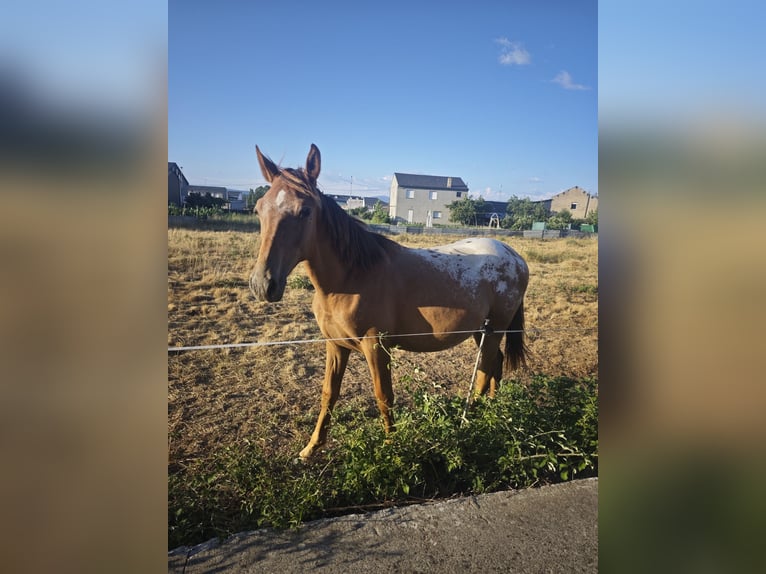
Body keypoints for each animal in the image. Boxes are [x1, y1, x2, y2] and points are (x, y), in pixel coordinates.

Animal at [250, 144, 529, 459]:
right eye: (259, 209)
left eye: (305, 210)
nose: (263, 284)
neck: (351, 279)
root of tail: (515, 256)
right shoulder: (335, 345)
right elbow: (328, 394)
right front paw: (311, 447)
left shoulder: (376, 347)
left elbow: (384, 396)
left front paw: (391, 448)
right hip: (480, 331)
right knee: (495, 366)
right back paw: (493, 413)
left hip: (494, 329)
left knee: (483, 373)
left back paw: (472, 425)